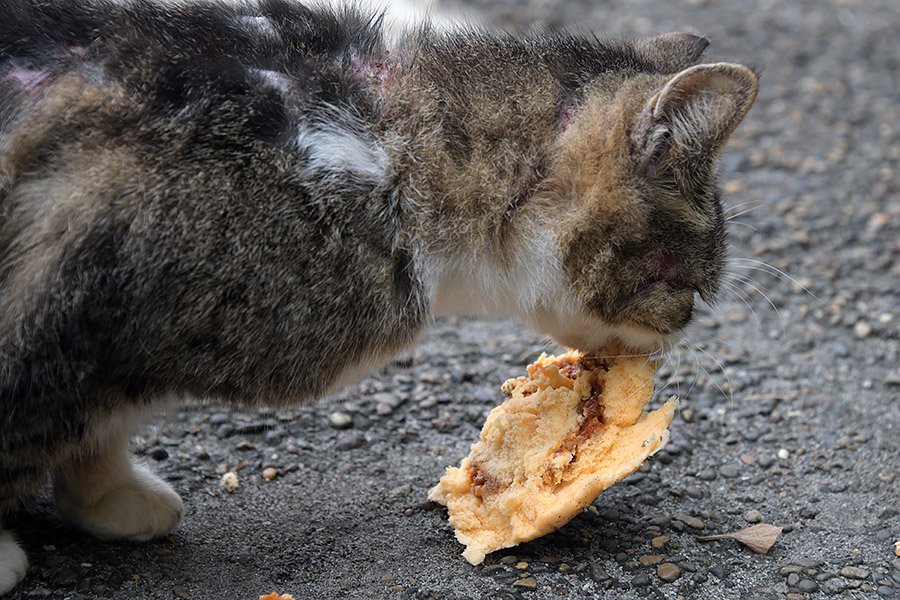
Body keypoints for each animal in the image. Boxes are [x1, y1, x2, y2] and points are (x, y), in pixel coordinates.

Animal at [0, 0, 760, 592]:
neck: (392, 150)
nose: (683, 333)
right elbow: (53, 421)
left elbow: (99, 431)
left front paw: (108, 499)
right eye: (689, 286)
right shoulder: (75, 313)